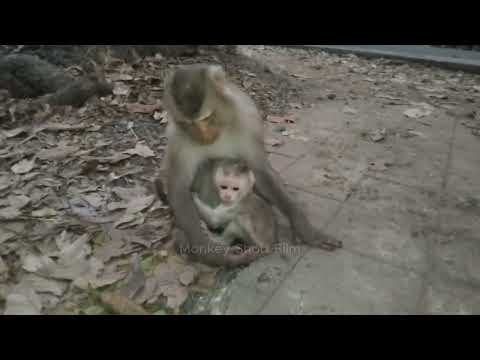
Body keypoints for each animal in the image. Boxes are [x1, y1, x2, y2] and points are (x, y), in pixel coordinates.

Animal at [155, 64, 342, 268]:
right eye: (189, 124)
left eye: (207, 119)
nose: (204, 136)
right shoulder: (177, 137)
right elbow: (178, 187)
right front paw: (209, 252)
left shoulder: (247, 119)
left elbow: (259, 169)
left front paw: (304, 228)